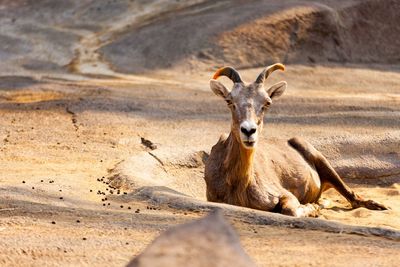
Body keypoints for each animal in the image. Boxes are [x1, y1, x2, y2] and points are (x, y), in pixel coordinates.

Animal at [205, 65, 386, 218]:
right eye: (229, 101)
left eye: (267, 103)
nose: (249, 131)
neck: (238, 183)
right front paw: (314, 207)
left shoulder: (286, 195)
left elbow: (290, 210)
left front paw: (313, 208)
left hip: (320, 159)